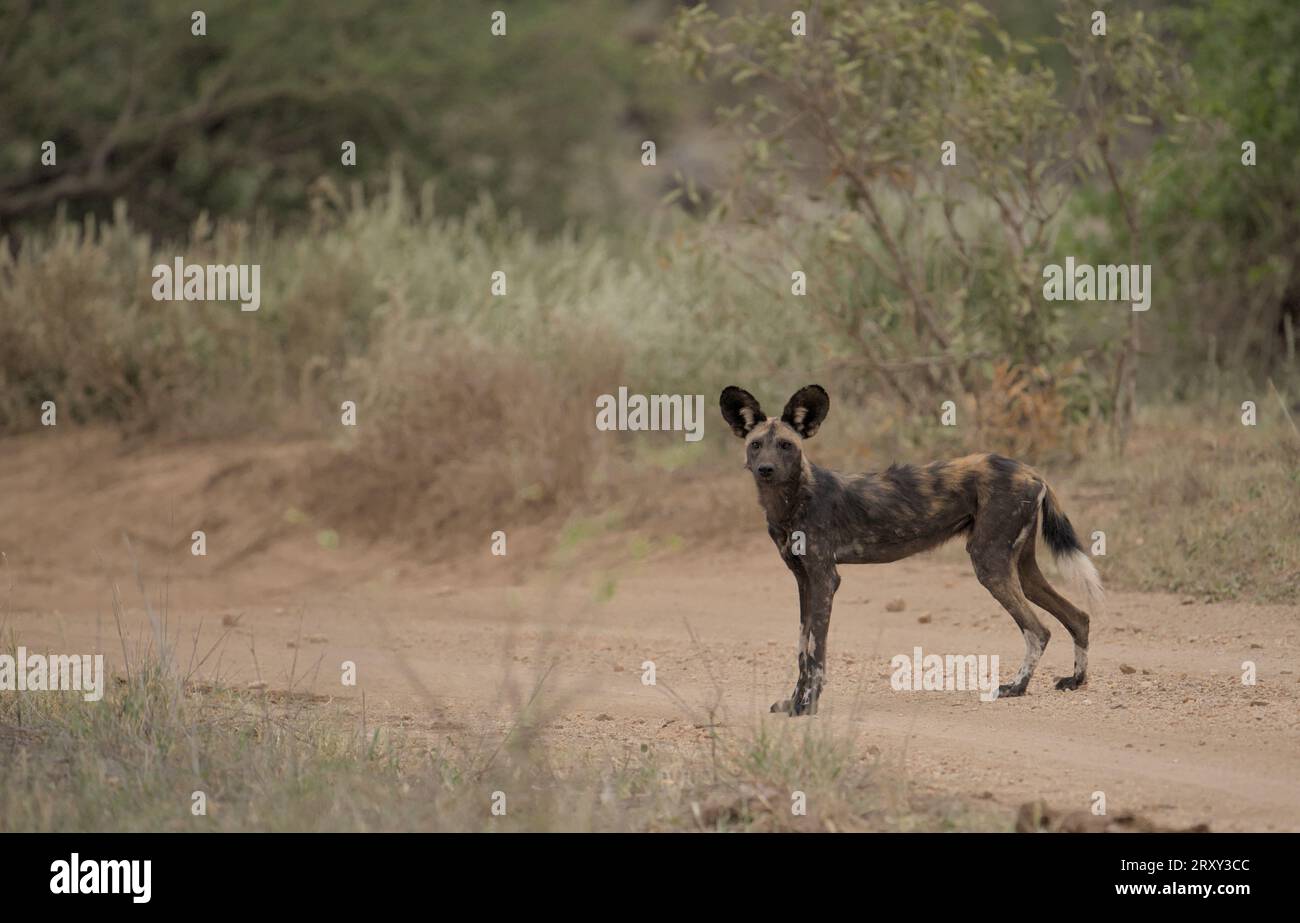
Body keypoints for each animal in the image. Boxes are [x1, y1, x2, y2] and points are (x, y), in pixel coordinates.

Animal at [717, 382, 1102, 717]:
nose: (766, 469)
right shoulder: (803, 580)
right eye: (756, 445)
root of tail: (1031, 471)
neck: (792, 500)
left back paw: (1015, 688)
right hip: (1020, 568)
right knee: (1077, 617)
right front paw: (793, 702)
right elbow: (801, 648)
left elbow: (815, 651)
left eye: (785, 445)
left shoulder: (825, 579)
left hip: (989, 564)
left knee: (1038, 630)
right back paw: (1075, 680)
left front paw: (806, 707)